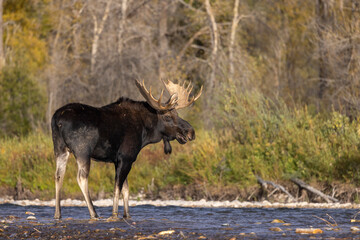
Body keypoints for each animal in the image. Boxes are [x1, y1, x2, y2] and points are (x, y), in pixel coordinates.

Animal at [51, 79, 202, 219]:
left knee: (59, 175)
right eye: (168, 116)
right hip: (82, 151)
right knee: (81, 177)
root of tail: (57, 120)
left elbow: (126, 189)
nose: (191, 132)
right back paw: (94, 213)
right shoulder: (126, 157)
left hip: (60, 149)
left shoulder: (118, 160)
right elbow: (118, 187)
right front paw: (114, 214)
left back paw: (58, 214)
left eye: (177, 114)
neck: (146, 132)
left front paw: (127, 215)